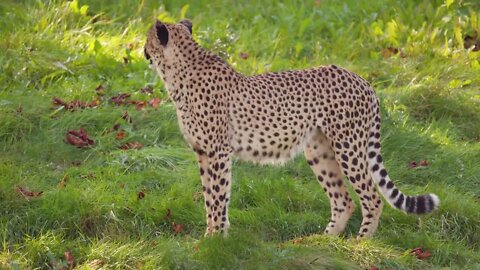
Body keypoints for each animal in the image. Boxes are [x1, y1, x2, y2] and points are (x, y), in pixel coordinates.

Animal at [145, 19, 438, 238]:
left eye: (147, 39)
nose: (142, 51)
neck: (180, 71)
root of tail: (361, 79)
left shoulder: (217, 152)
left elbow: (217, 196)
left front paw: (214, 239)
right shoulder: (203, 152)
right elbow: (211, 197)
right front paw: (213, 236)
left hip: (349, 147)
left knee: (372, 198)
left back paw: (359, 243)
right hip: (319, 151)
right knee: (343, 200)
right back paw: (323, 242)